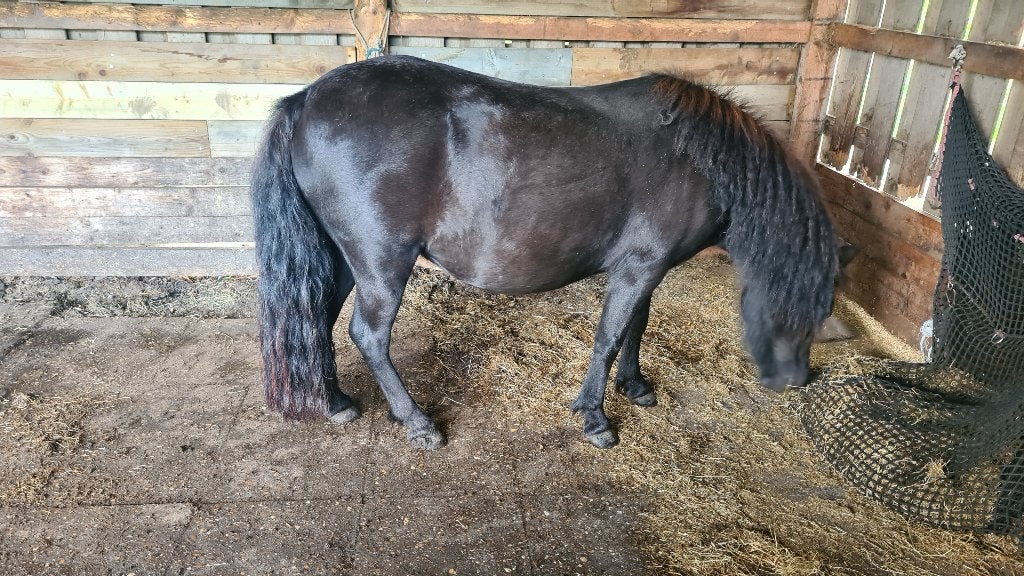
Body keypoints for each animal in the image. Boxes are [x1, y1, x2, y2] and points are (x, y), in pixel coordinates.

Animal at [250, 55, 838, 450]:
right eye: (804, 302)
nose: (795, 380)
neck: (700, 157)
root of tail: (306, 100)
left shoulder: (645, 267)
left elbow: (636, 327)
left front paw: (635, 386)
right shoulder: (640, 266)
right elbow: (608, 337)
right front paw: (596, 419)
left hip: (346, 260)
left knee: (317, 318)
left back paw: (335, 403)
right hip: (381, 261)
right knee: (368, 336)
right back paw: (417, 423)